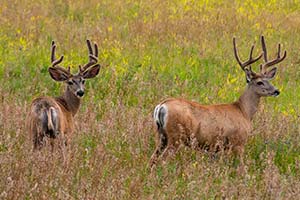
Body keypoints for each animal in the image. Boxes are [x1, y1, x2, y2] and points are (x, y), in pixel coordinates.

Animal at [150, 36, 286, 167]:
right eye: (259, 82)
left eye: (269, 80)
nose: (276, 91)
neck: (244, 111)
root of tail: (161, 106)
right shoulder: (238, 142)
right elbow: (241, 167)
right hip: (175, 136)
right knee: (163, 160)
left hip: (161, 136)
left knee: (153, 158)